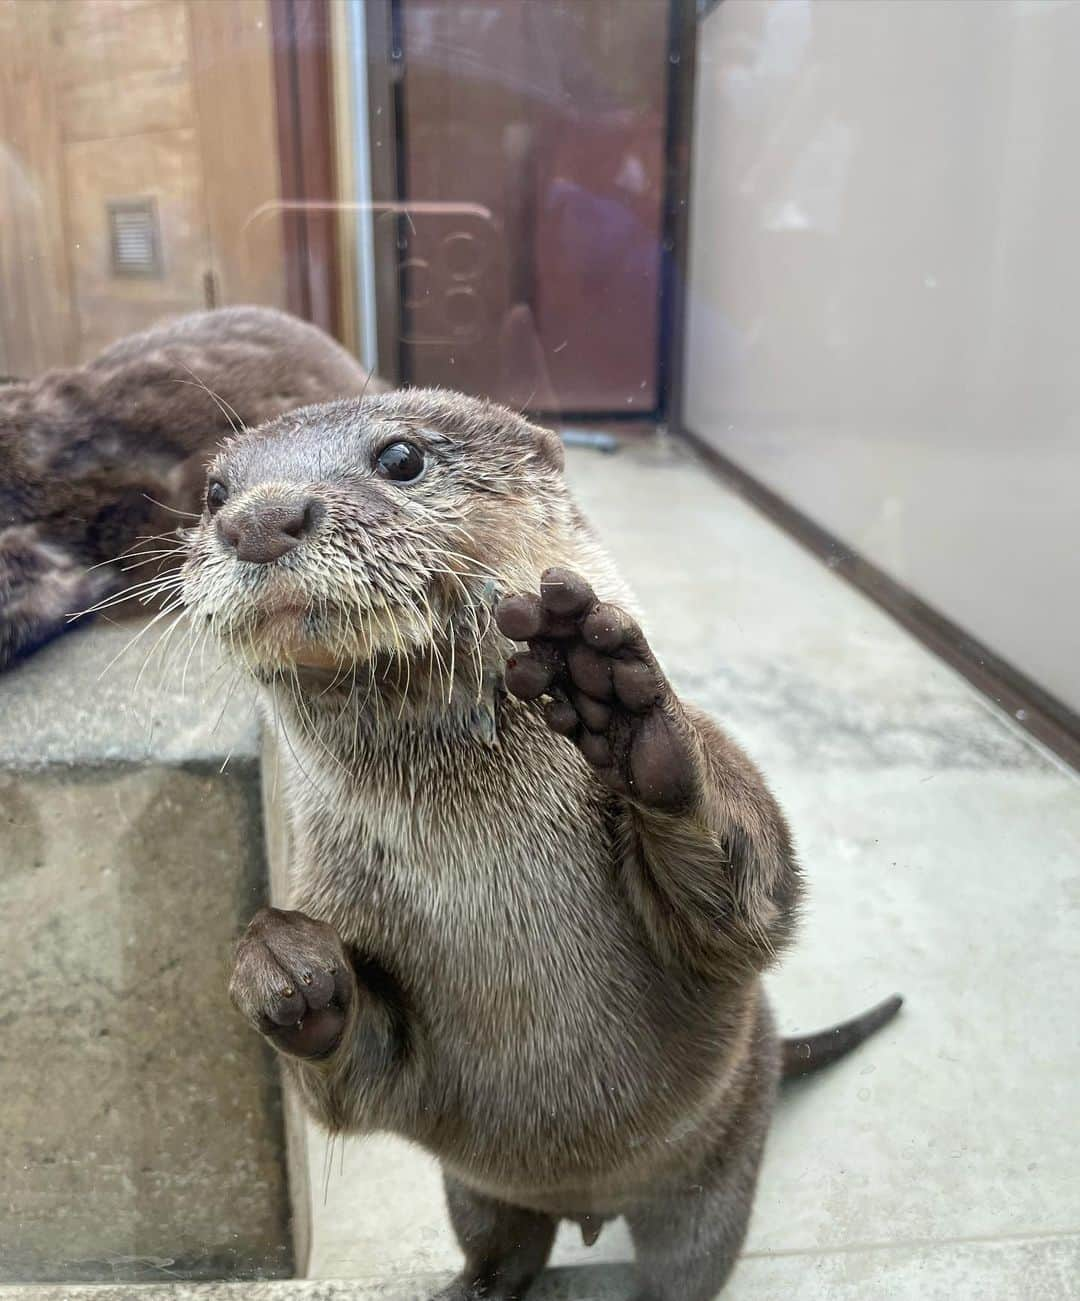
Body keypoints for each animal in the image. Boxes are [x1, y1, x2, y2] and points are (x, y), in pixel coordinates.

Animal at [179, 390, 905, 1301]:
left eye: (401, 457)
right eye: (213, 491)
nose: (256, 517)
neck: (477, 861)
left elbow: (752, 911)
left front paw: (626, 712)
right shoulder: (335, 896)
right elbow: (350, 1092)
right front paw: (282, 965)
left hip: (724, 1159)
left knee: (687, 1264)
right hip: (473, 1191)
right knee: (503, 1245)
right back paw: (472, 1285)